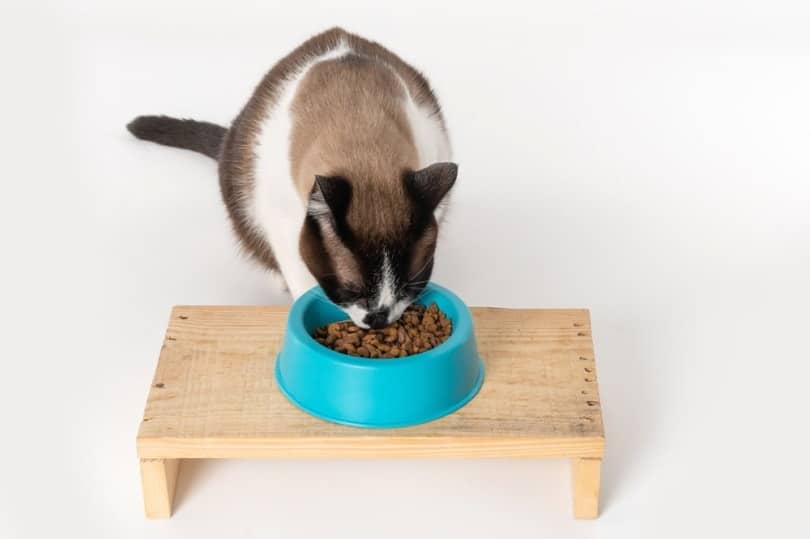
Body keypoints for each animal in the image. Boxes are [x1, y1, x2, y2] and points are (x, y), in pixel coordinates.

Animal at [126, 28, 454, 330]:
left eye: (409, 288)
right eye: (350, 290)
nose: (378, 320)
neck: (365, 145)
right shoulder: (283, 224)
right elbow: (302, 280)